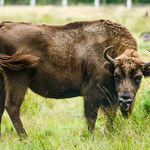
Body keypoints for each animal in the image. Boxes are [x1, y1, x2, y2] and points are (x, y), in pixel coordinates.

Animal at [0, 19, 149, 138]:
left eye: (139, 77)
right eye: (117, 75)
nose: (125, 100)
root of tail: (3, 26)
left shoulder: (112, 98)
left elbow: (110, 117)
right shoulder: (92, 94)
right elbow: (91, 117)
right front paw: (91, 137)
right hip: (18, 79)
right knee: (12, 106)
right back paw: (25, 138)